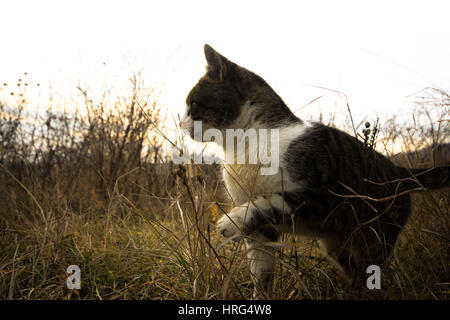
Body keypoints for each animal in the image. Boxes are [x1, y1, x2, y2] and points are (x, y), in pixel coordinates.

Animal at [181, 43, 448, 298]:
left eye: (192, 103)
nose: (181, 124)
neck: (243, 147)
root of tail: (400, 171)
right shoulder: (262, 234)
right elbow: (262, 275)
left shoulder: (324, 200)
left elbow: (268, 199)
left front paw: (231, 221)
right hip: (337, 246)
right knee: (353, 272)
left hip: (372, 235)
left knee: (370, 271)